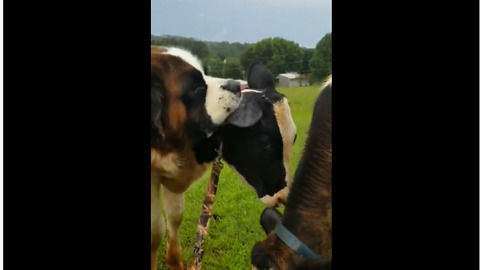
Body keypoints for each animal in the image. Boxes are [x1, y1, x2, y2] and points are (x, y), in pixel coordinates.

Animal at [151, 46, 296, 270]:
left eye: (294, 138)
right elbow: (155, 230)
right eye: (266, 143)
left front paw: (175, 262)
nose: (283, 197)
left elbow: (175, 216)